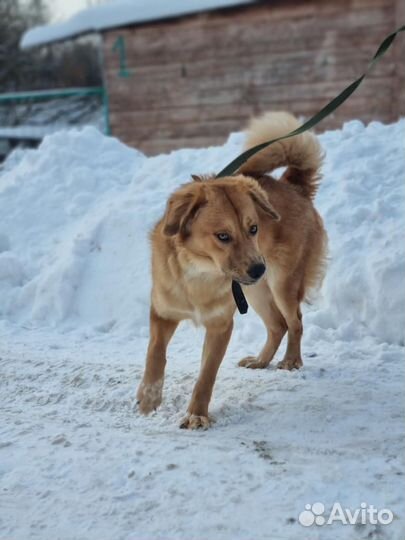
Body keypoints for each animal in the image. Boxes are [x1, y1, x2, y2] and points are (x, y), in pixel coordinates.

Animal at [137, 113, 326, 430]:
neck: (200, 273)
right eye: (223, 236)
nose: (259, 268)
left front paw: (196, 414)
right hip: (256, 291)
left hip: (281, 284)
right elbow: (155, 354)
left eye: (254, 229)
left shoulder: (220, 325)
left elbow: (206, 375)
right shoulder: (162, 312)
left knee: (295, 321)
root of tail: (293, 185)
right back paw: (261, 361)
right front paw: (149, 398)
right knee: (278, 325)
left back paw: (291, 361)